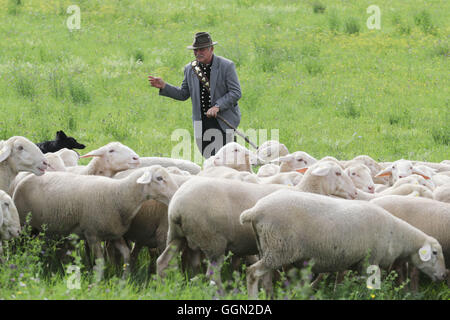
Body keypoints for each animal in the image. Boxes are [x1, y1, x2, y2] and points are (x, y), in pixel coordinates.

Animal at [12, 165, 178, 278]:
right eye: (159, 178)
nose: (175, 193)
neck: (119, 194)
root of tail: (26, 177)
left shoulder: (113, 234)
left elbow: (126, 256)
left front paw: (124, 279)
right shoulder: (92, 234)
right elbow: (100, 263)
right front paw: (97, 282)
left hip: (41, 228)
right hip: (24, 224)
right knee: (19, 245)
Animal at [156, 160, 356, 284]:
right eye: (338, 173)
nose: (354, 193)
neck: (306, 190)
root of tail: (177, 207)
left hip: (176, 235)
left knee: (162, 261)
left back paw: (163, 285)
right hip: (213, 241)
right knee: (212, 275)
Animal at [239, 190, 446, 298]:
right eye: (435, 252)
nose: (444, 275)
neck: (396, 234)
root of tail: (255, 211)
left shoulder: (353, 261)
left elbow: (344, 283)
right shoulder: (371, 260)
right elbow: (370, 287)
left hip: (267, 247)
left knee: (264, 277)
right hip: (279, 248)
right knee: (252, 273)